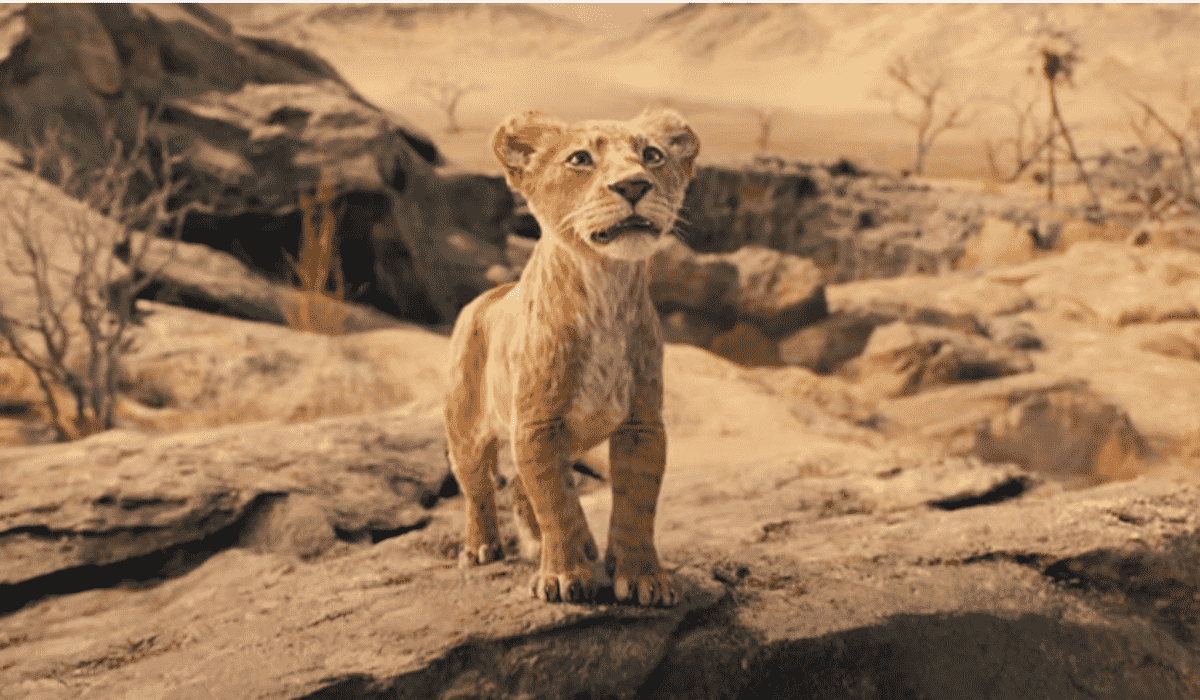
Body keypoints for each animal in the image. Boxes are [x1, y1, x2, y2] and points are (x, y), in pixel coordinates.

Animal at [443, 108, 699, 606]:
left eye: (652, 155)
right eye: (580, 158)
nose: (634, 185)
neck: (605, 288)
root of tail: (487, 296)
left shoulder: (643, 424)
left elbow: (636, 504)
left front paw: (642, 577)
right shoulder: (537, 424)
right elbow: (556, 502)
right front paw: (563, 575)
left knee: (520, 487)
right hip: (465, 430)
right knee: (479, 489)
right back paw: (481, 547)